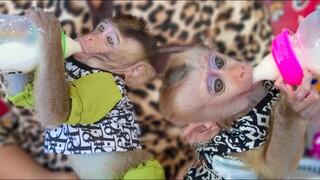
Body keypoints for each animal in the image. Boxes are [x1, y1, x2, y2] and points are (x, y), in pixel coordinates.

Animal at [160, 46, 320, 179]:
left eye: (219, 62)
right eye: (218, 85)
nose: (241, 71)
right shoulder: (242, 140)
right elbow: (275, 170)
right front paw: (293, 107)